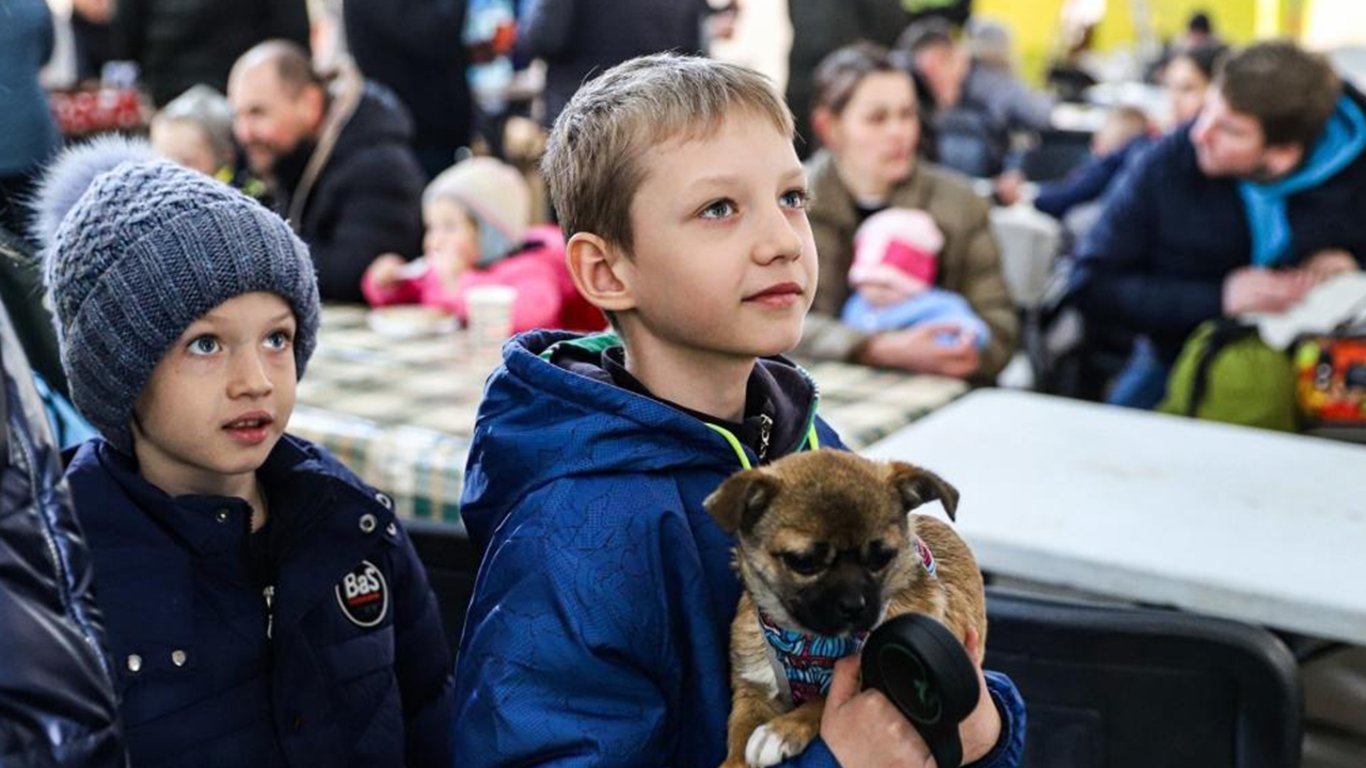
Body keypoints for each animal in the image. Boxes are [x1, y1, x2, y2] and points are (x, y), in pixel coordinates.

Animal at [704, 448, 983, 765]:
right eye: (804, 561)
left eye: (882, 557)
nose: (854, 605)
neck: (807, 640)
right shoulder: (753, 688)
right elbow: (739, 734)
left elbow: (823, 700)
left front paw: (782, 730)